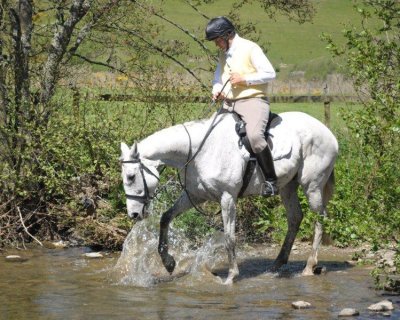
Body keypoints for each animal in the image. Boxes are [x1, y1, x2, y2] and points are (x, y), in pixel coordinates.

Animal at [119, 110, 338, 284]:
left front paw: (231, 276)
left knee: (320, 219)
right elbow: (166, 218)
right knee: (295, 217)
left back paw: (309, 266)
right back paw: (276, 264)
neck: (199, 152)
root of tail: (328, 132)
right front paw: (168, 262)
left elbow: (229, 238)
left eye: (131, 176)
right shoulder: (194, 196)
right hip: (288, 186)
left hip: (312, 186)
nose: (134, 214)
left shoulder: (227, 198)